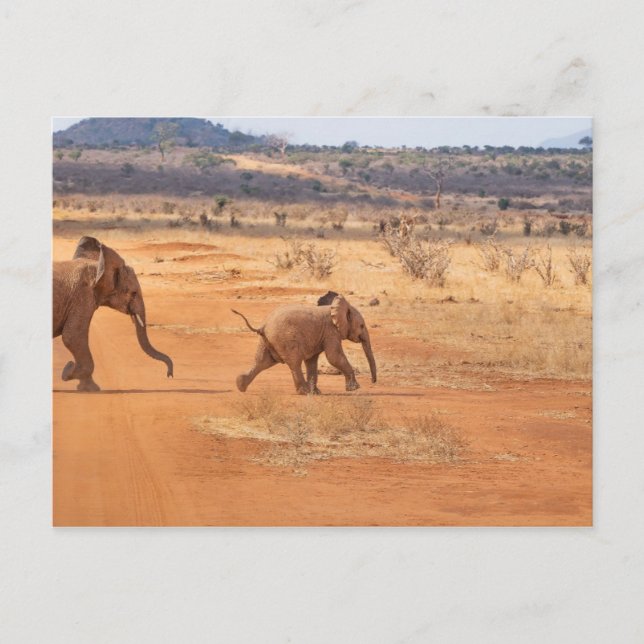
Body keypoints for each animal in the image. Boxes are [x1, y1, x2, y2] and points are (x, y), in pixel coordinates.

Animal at [52, 236, 173, 391]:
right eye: (134, 293)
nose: (169, 375)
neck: (98, 266)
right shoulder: (82, 297)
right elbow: (72, 336)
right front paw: (73, 376)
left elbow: (73, 337)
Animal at [232, 291, 376, 395]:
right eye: (362, 326)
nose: (373, 382)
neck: (334, 307)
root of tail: (263, 326)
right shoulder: (331, 332)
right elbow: (334, 357)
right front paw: (355, 389)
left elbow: (312, 361)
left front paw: (316, 393)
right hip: (286, 340)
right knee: (294, 363)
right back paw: (304, 392)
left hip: (267, 341)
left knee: (262, 362)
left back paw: (240, 386)